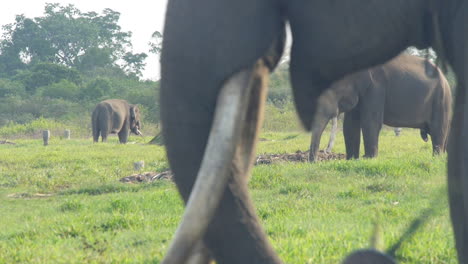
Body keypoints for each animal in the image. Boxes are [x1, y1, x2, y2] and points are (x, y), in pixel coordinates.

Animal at [308, 53, 452, 161]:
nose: (315, 161)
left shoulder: (376, 87)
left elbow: (370, 121)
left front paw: (369, 159)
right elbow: (350, 125)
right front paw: (352, 160)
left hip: (441, 99)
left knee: (438, 129)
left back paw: (436, 158)